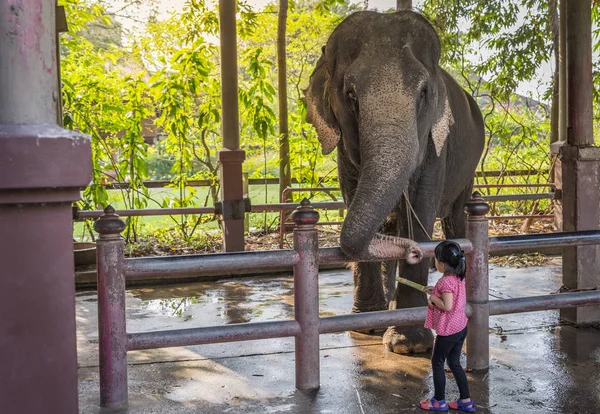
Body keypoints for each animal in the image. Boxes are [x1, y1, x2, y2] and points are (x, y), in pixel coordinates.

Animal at [308, 9, 486, 352]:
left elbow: (420, 208)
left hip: (468, 170)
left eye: (424, 92)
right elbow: (354, 197)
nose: (413, 252)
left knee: (456, 217)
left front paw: (409, 345)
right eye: (350, 94)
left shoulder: (435, 144)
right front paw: (367, 327)